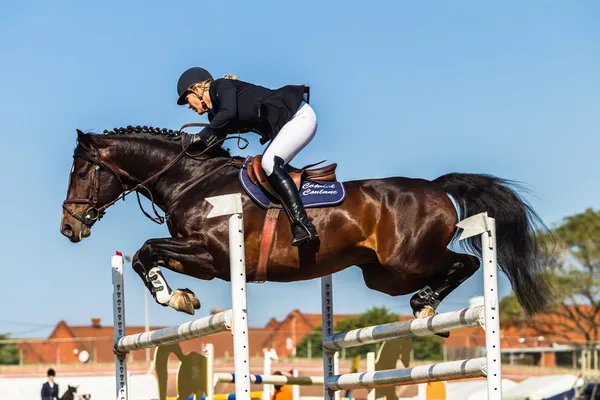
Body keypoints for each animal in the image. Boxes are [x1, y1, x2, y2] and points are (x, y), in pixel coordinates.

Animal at [61, 126, 552, 320]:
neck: (192, 181)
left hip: (408, 258)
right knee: (444, 270)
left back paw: (426, 302)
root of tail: (434, 186)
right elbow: (147, 255)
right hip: (382, 275)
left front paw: (175, 298)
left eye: (82, 172)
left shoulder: (212, 255)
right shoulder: (201, 258)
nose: (69, 228)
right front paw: (180, 296)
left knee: (466, 264)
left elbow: (146, 250)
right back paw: (425, 301)